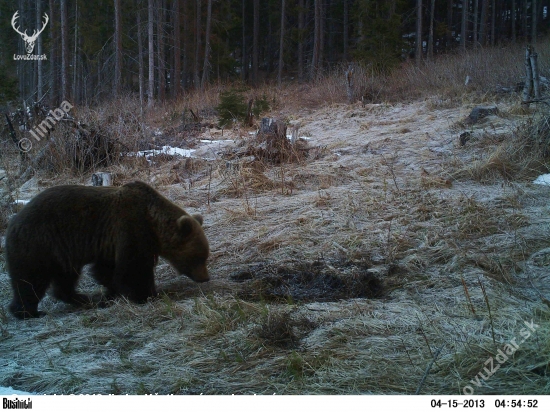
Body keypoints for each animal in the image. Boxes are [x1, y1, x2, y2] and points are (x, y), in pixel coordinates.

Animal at [5, 180, 210, 318]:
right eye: (199, 257)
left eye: (205, 256)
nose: (205, 278)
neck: (153, 223)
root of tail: (13, 221)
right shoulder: (130, 227)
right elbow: (133, 269)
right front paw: (147, 295)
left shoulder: (108, 243)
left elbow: (107, 269)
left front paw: (111, 293)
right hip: (39, 244)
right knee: (30, 280)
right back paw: (28, 312)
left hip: (62, 252)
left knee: (65, 276)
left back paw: (81, 298)